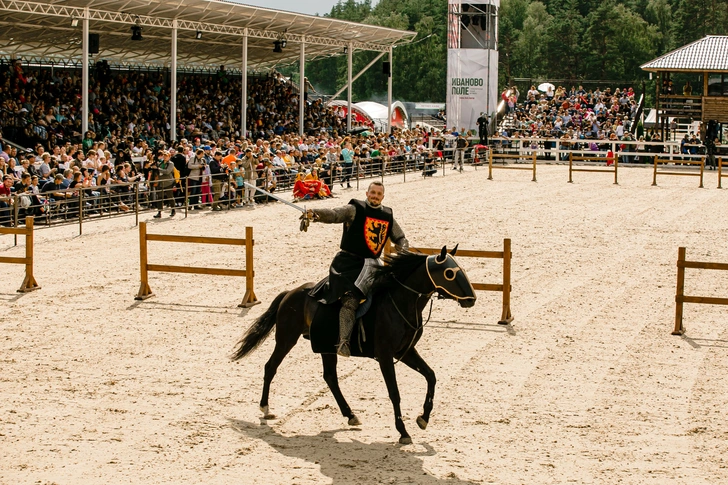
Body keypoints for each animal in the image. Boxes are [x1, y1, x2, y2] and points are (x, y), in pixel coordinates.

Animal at [230, 246, 474, 442]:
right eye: (449, 273)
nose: (471, 299)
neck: (400, 303)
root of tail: (291, 293)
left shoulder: (405, 352)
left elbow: (431, 376)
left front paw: (423, 418)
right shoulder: (385, 356)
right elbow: (394, 392)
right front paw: (403, 431)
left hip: (325, 347)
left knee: (330, 378)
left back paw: (350, 414)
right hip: (286, 338)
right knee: (271, 367)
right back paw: (265, 407)